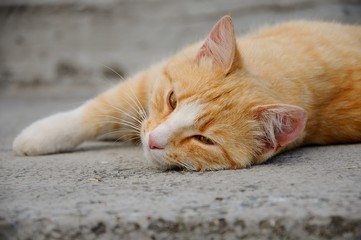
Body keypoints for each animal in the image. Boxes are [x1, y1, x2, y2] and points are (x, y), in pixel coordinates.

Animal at [12, 15, 360, 171]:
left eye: (203, 140)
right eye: (172, 100)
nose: (153, 140)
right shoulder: (148, 79)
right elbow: (99, 109)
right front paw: (41, 135)